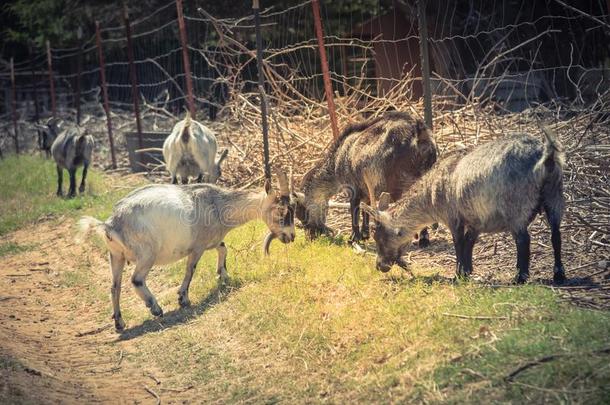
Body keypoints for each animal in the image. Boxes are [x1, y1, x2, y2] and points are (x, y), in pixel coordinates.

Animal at [77, 169, 296, 330]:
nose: (291, 236)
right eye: (281, 211)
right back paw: (155, 308)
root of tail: (110, 224)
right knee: (136, 279)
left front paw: (223, 275)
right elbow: (191, 269)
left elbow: (223, 248)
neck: (217, 205)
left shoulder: (212, 240)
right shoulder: (197, 246)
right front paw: (183, 298)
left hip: (115, 255)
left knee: (115, 286)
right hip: (147, 254)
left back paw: (119, 322)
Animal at [360, 129, 564, 284]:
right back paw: (558, 275)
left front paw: (458, 274)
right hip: (554, 196)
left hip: (516, 207)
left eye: (379, 238)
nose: (380, 266)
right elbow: (469, 241)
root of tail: (545, 157)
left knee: (523, 240)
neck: (431, 193)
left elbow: (458, 242)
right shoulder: (475, 220)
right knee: (556, 235)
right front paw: (467, 271)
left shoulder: (453, 216)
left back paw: (520, 277)